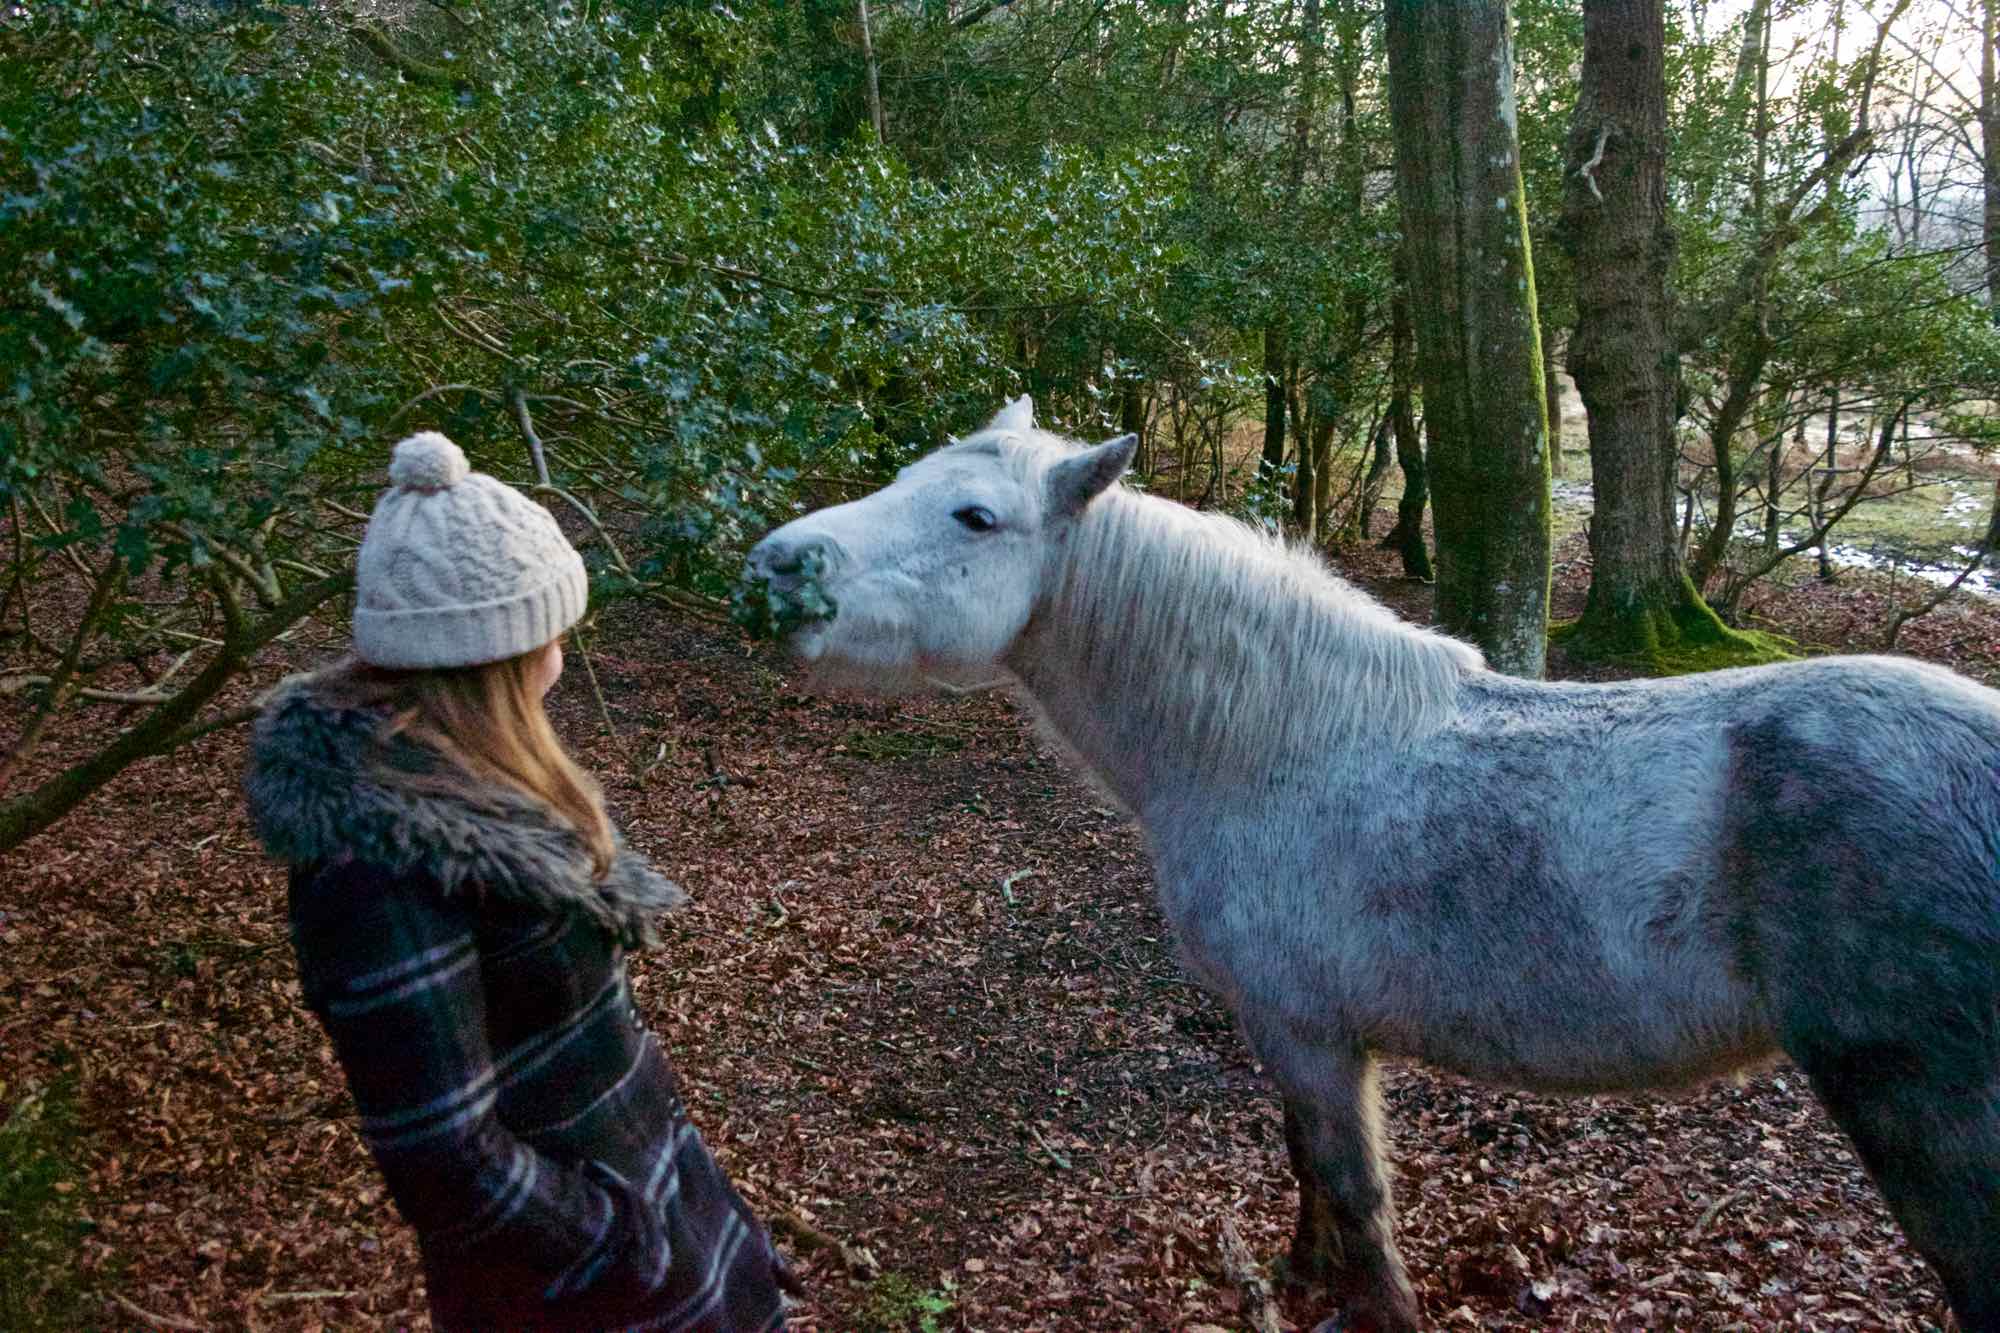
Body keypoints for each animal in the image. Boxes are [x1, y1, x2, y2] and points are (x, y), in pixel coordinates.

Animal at [748, 394, 2000, 1328]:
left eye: (972, 516)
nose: (772, 569)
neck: (1277, 747)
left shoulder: (1309, 1030)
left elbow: (1353, 1185)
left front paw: (1368, 1308)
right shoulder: (1288, 1031)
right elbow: (1307, 1162)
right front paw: (1300, 1282)